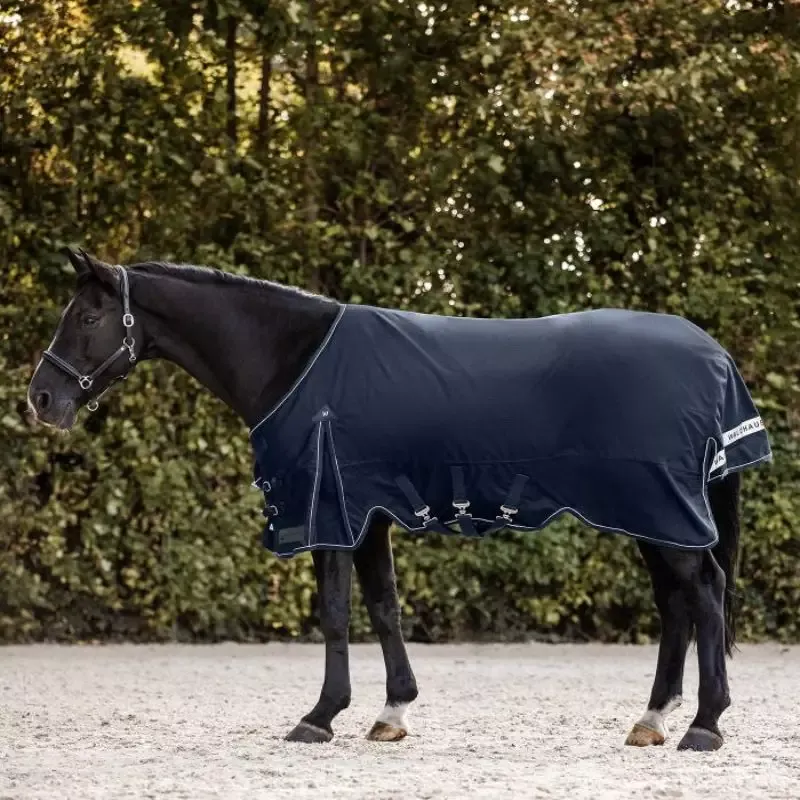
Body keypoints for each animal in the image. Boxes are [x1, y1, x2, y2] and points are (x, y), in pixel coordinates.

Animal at [27, 248, 772, 752]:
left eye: (88, 314)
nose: (41, 398)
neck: (297, 361)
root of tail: (712, 355)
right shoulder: (368, 516)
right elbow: (383, 608)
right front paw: (392, 713)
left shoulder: (330, 512)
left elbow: (334, 614)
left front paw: (320, 716)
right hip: (652, 516)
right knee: (676, 604)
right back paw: (652, 719)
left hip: (662, 510)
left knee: (705, 592)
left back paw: (705, 724)